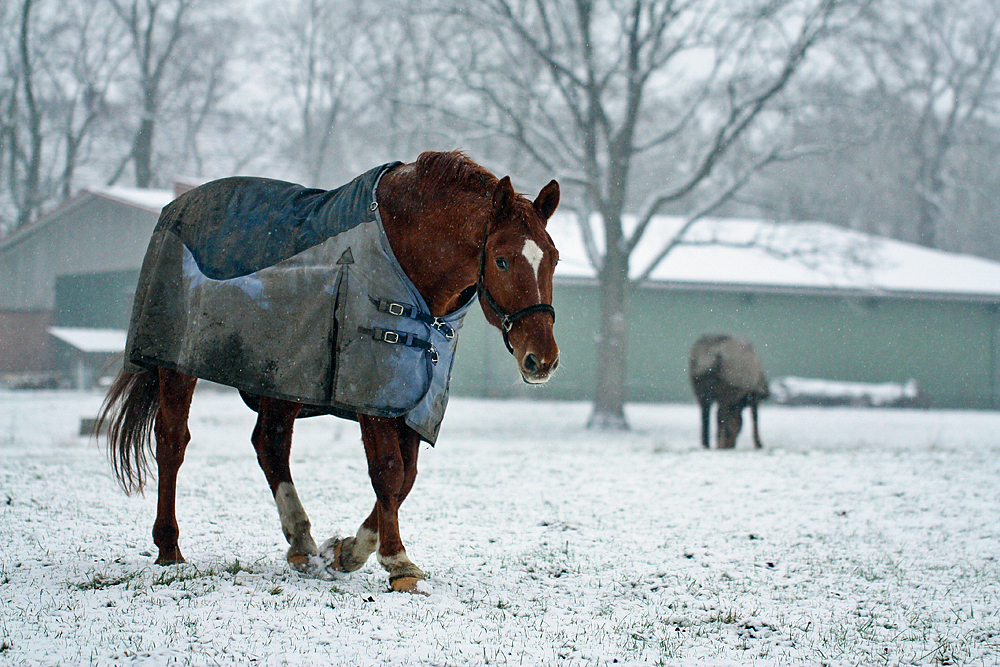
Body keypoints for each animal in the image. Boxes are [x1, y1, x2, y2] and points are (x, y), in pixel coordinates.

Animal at [99, 153, 564, 596]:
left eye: (554, 259)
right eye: (502, 260)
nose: (541, 359)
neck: (407, 255)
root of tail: (175, 207)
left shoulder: (412, 395)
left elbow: (406, 477)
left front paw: (347, 552)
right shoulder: (370, 393)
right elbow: (389, 472)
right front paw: (397, 562)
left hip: (283, 376)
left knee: (270, 446)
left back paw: (302, 545)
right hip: (175, 367)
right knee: (172, 442)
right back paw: (169, 548)